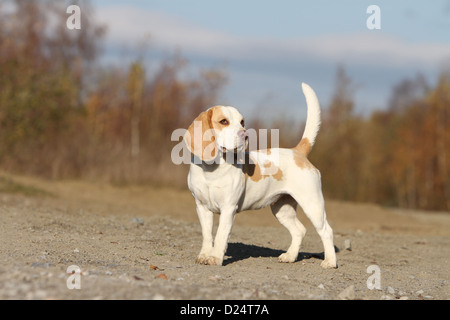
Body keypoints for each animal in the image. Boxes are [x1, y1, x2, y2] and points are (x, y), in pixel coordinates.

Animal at [184, 82, 338, 268]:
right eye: (223, 121)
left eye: (242, 122)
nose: (245, 134)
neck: (212, 169)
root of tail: (297, 152)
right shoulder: (202, 207)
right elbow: (207, 236)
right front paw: (204, 255)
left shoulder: (228, 208)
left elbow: (220, 236)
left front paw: (215, 258)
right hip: (282, 209)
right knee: (299, 230)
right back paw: (290, 256)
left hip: (312, 205)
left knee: (326, 231)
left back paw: (330, 262)